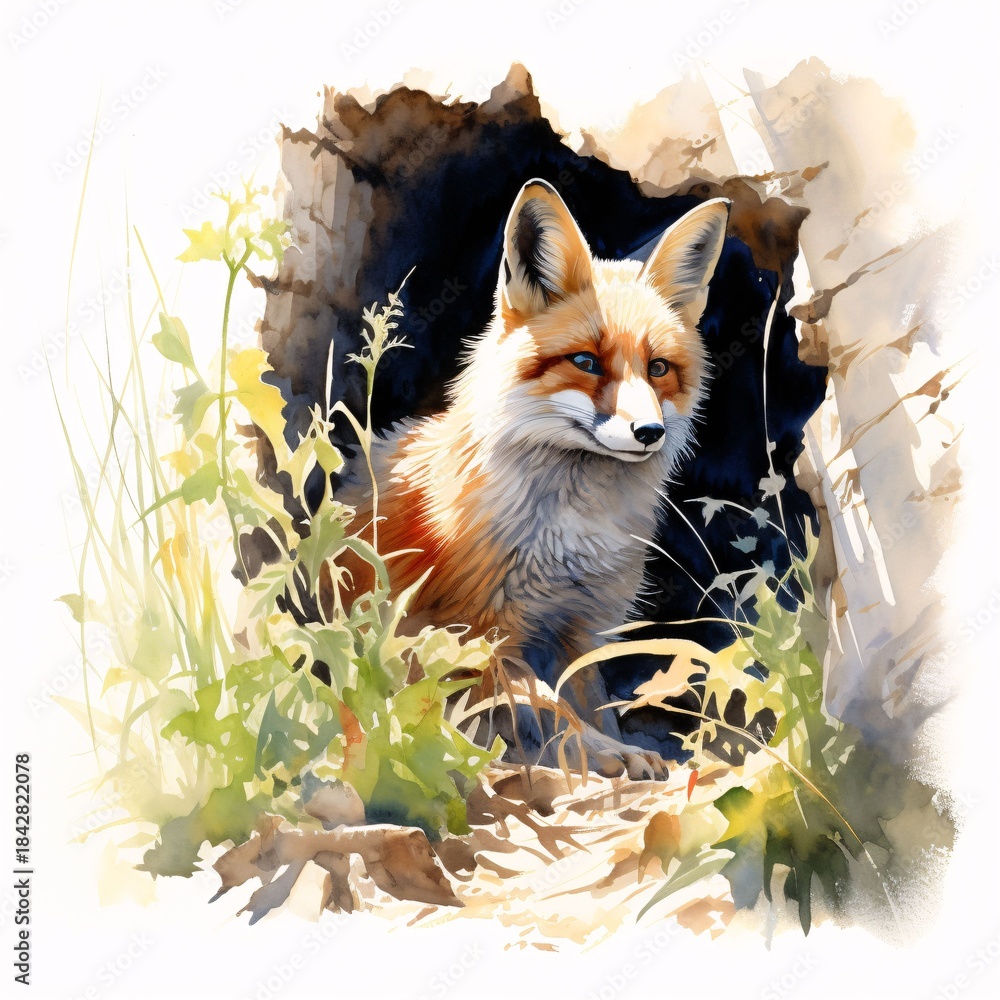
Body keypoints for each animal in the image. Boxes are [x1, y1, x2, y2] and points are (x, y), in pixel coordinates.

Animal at [339, 179, 730, 780]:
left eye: (658, 368)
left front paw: (611, 747)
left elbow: (587, 702)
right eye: (586, 362)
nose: (649, 432)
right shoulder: (481, 627)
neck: (572, 533)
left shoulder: (585, 626)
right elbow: (549, 706)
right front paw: (607, 754)